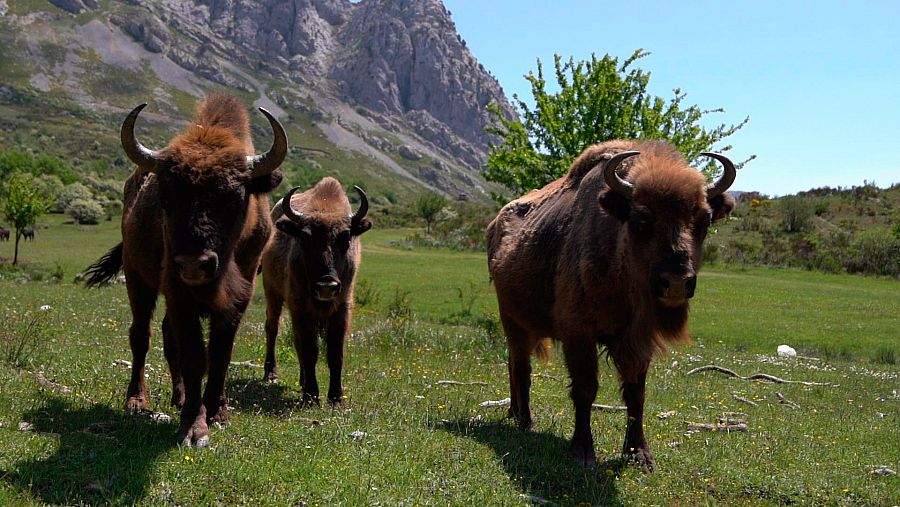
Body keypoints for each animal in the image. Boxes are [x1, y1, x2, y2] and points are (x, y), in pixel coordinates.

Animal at [83, 93, 284, 446]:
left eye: (235, 197)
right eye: (165, 197)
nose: (194, 263)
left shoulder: (239, 296)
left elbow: (220, 353)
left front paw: (218, 410)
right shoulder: (178, 292)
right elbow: (193, 355)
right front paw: (194, 428)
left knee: (165, 335)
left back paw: (178, 397)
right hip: (137, 278)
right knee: (142, 335)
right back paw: (136, 400)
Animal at [260, 179, 372, 404]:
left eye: (346, 238)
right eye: (304, 238)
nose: (327, 286)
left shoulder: (341, 309)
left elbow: (335, 353)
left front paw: (336, 398)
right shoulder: (301, 308)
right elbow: (310, 350)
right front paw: (311, 397)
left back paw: (302, 380)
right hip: (272, 293)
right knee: (272, 329)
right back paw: (271, 375)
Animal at [488, 139, 736, 472]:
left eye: (704, 220)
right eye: (641, 219)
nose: (675, 282)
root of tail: (495, 225)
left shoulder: (636, 339)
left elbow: (636, 394)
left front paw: (640, 454)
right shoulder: (579, 333)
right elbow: (585, 389)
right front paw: (582, 452)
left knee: (515, 365)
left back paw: (515, 414)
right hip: (511, 318)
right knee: (521, 366)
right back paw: (526, 421)